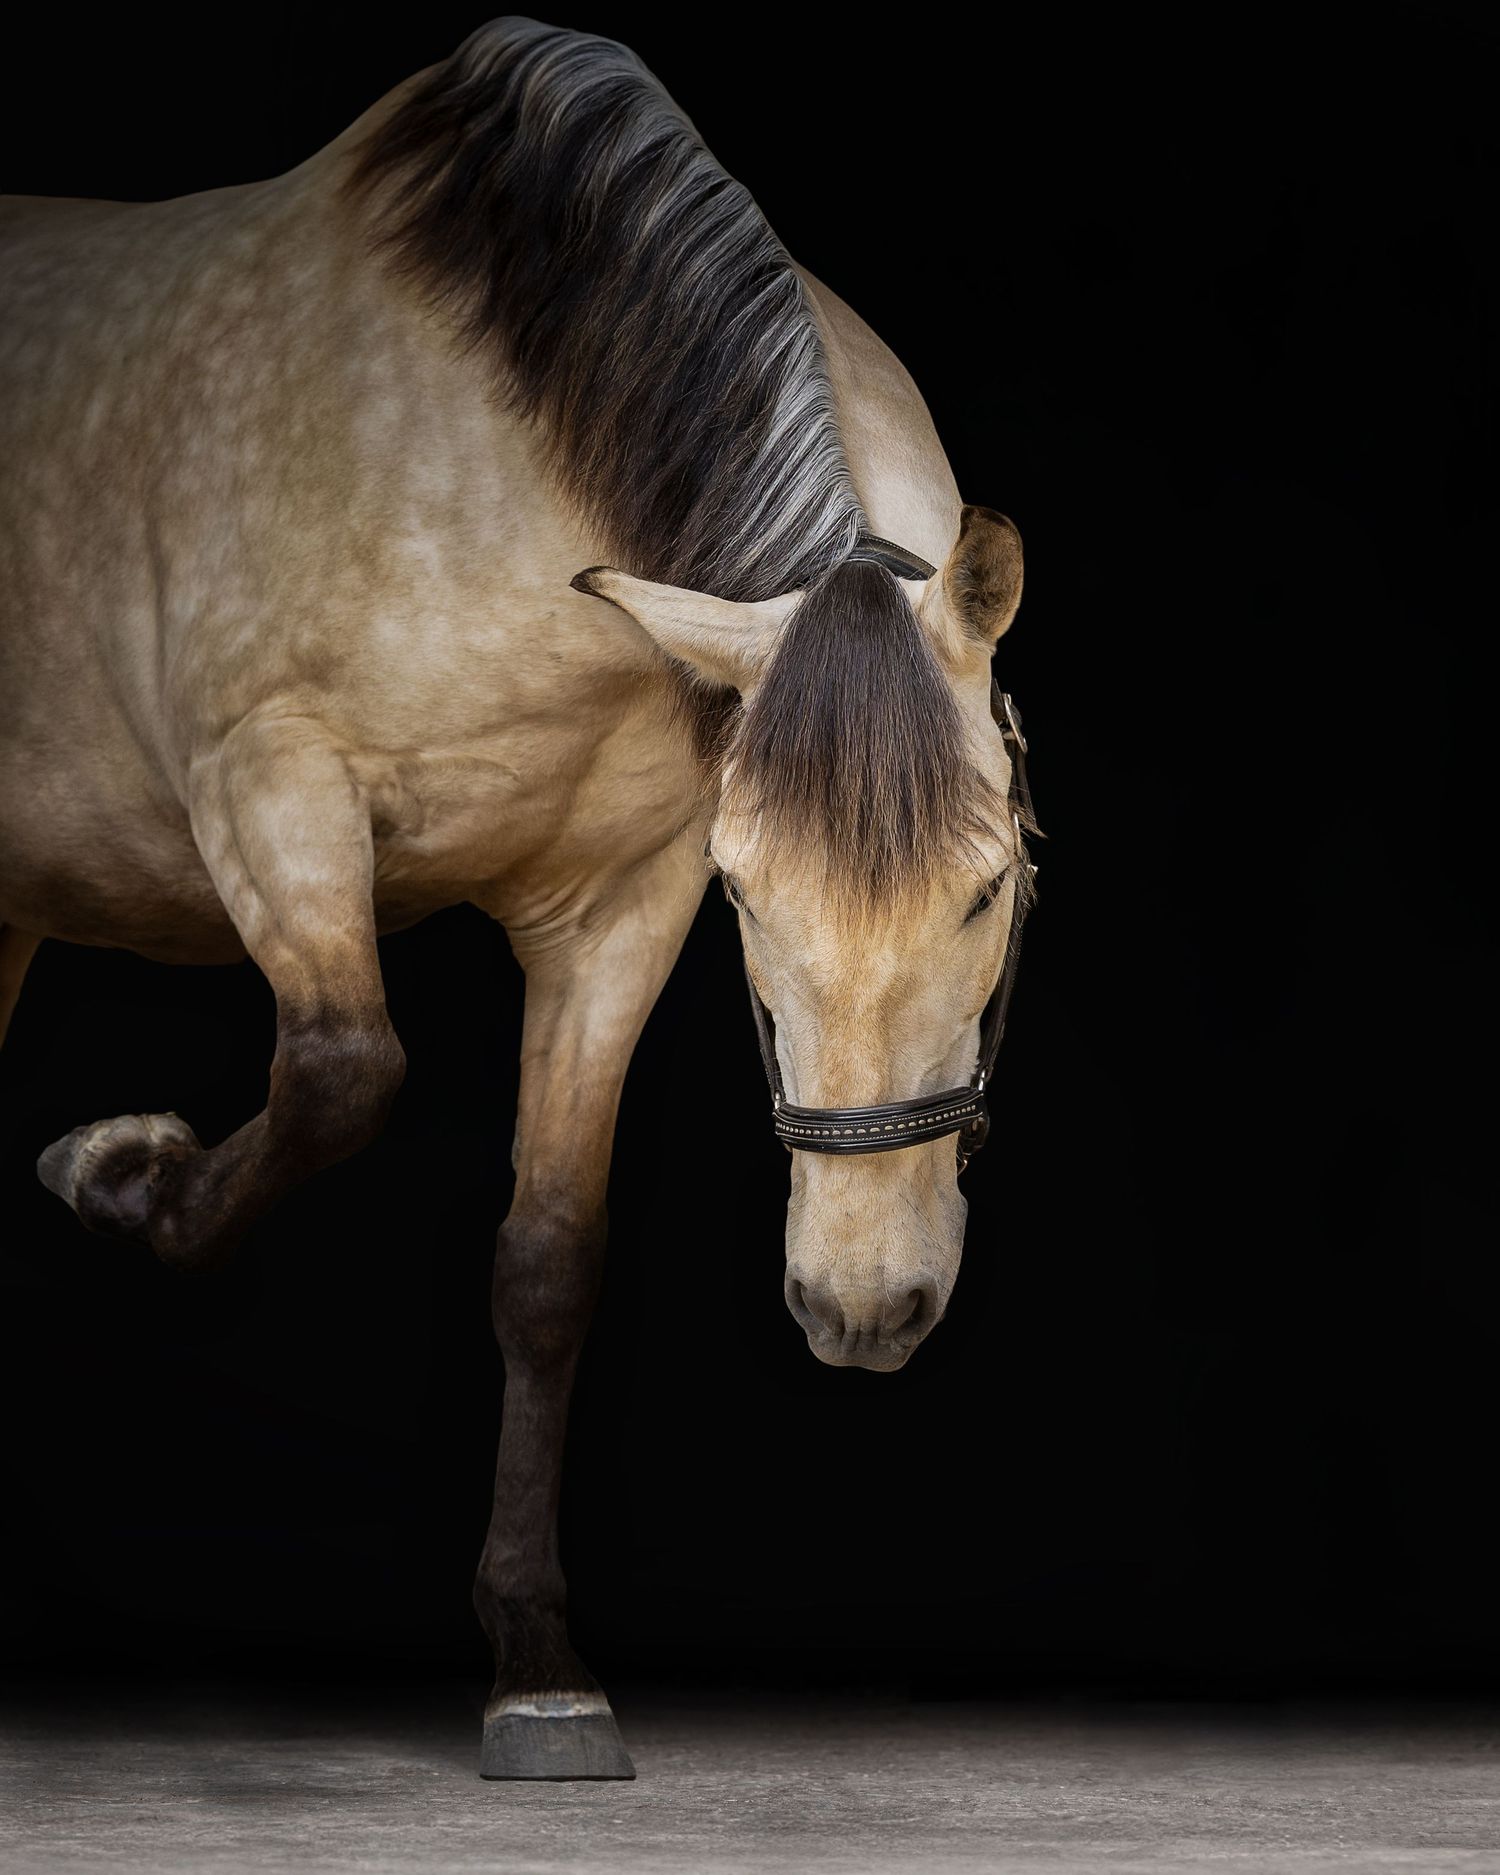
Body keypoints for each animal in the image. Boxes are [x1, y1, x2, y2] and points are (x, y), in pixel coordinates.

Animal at [0, 17, 1033, 1778]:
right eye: (757, 893)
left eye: (989, 887)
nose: (861, 1300)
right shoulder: (273, 790)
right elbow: (344, 1071)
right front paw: (119, 1171)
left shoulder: (614, 904)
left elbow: (548, 1255)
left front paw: (538, 1660)